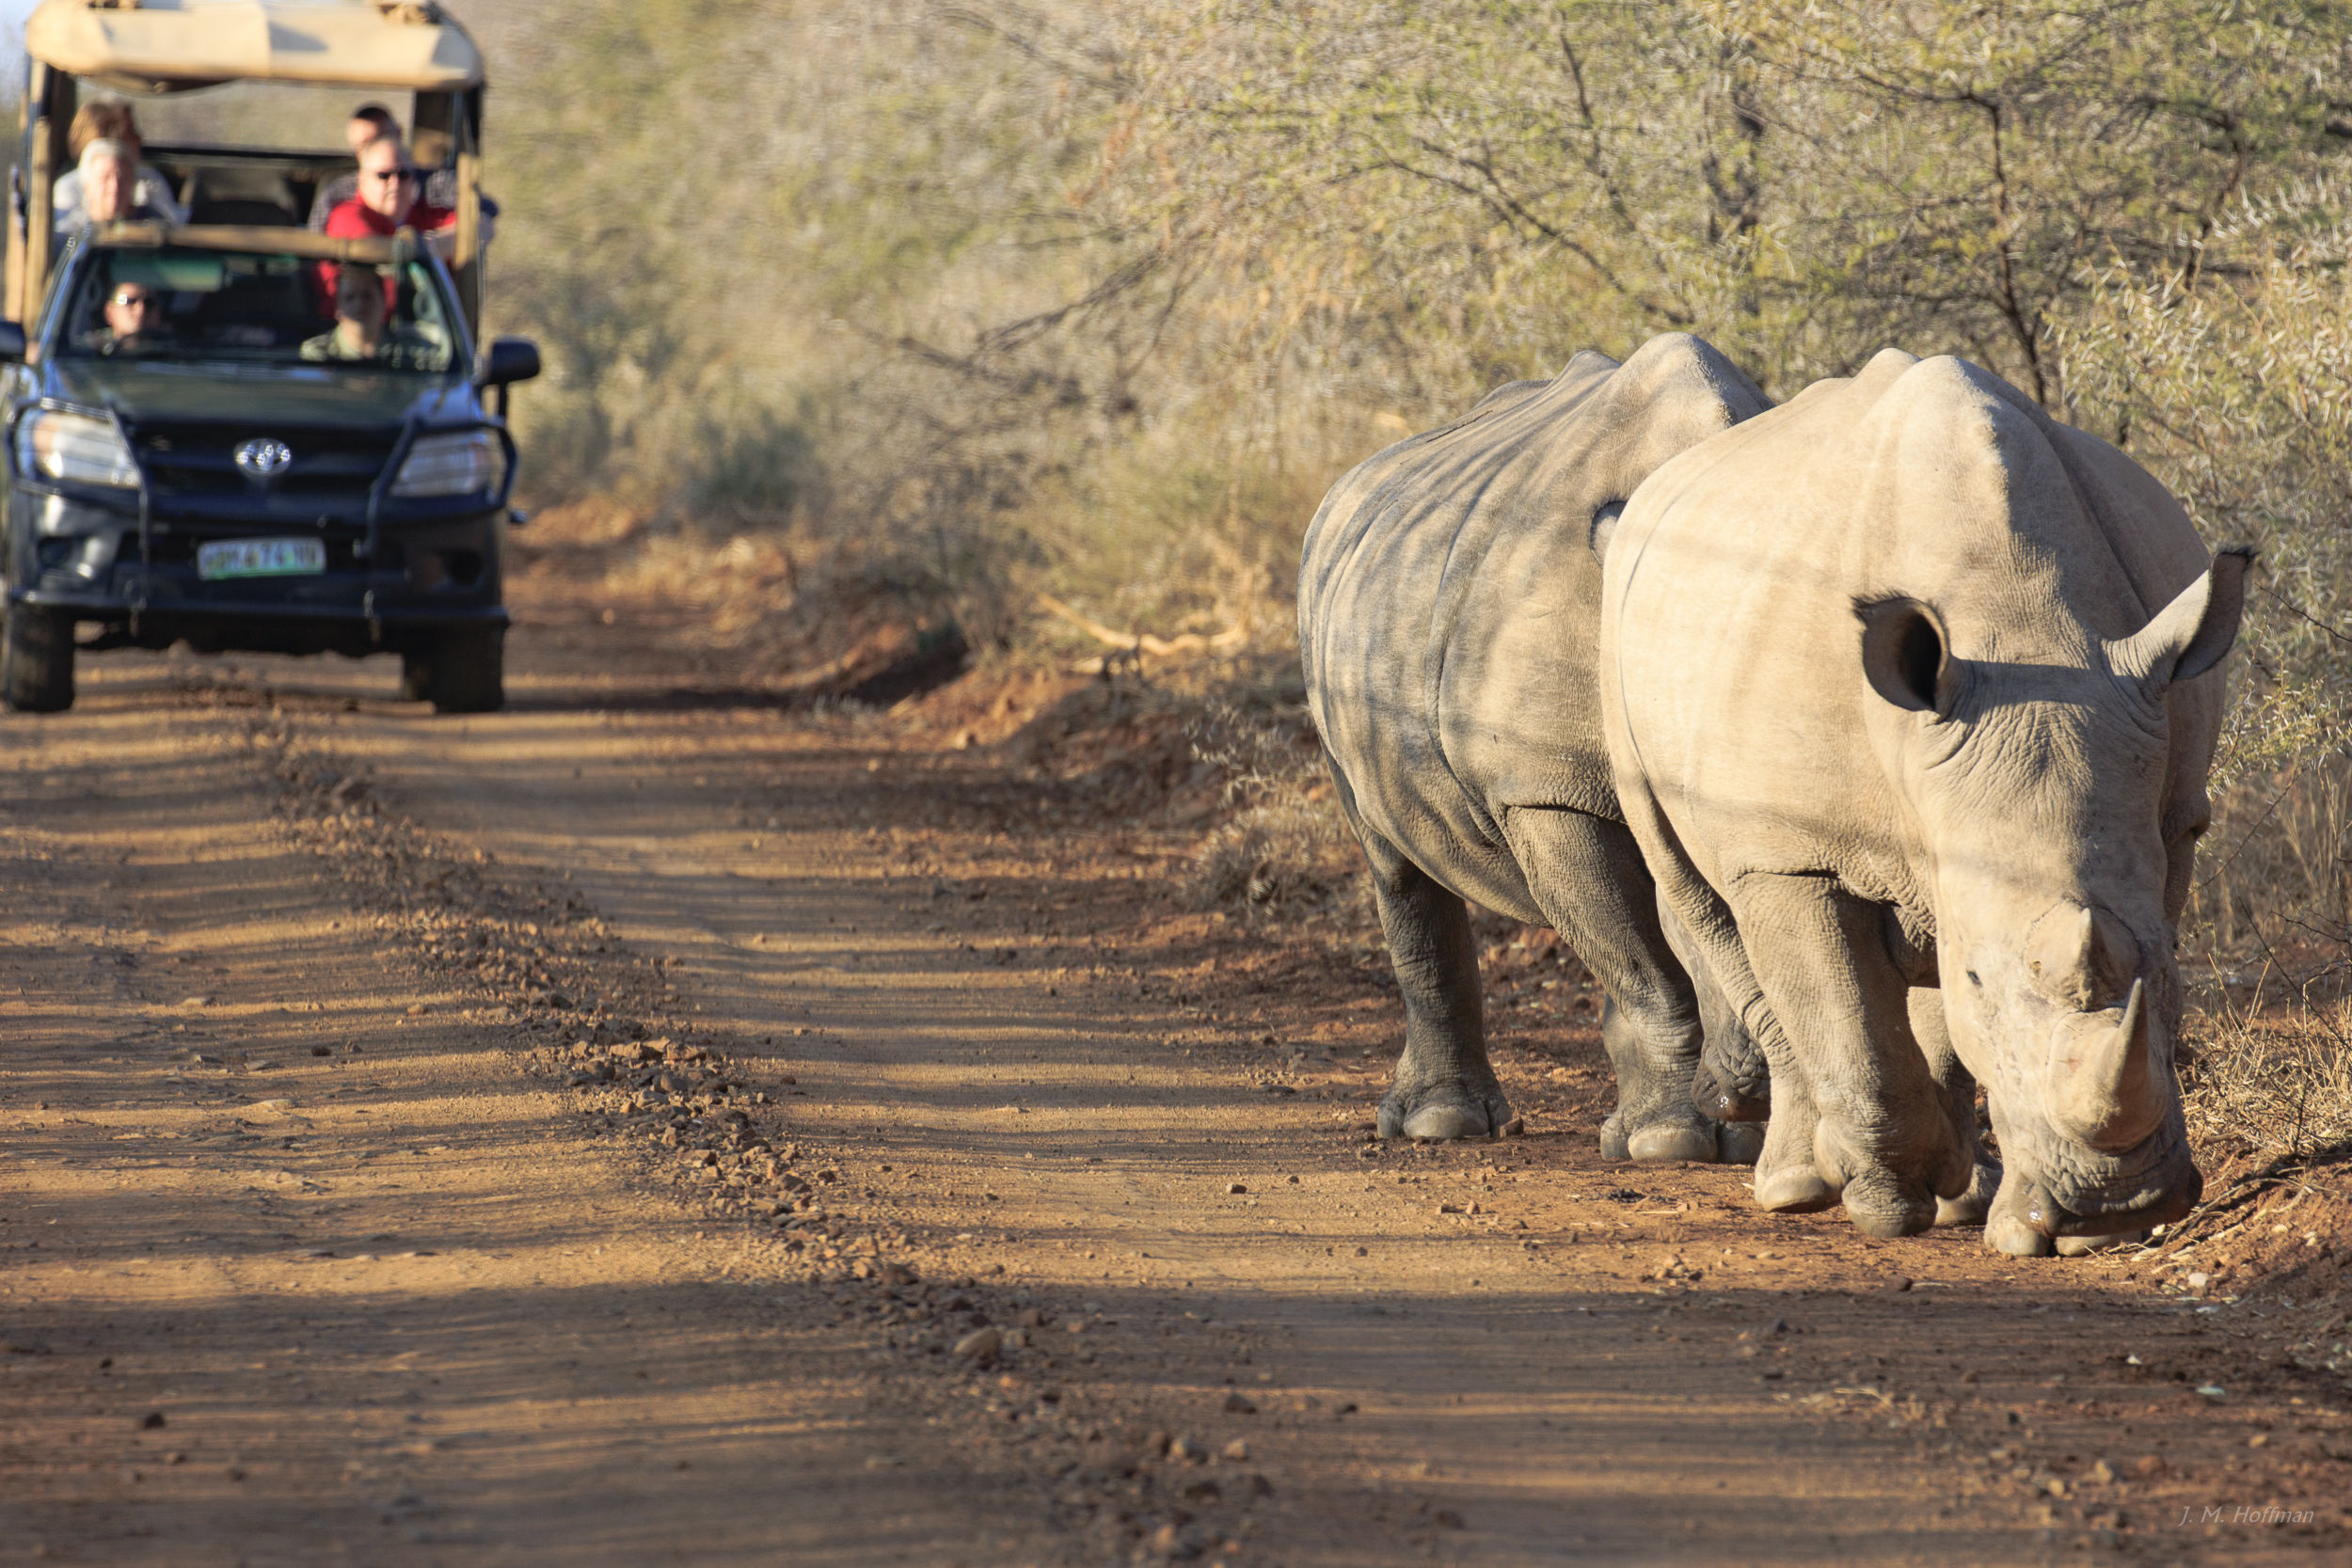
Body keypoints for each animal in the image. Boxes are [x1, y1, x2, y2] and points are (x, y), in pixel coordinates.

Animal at [1299, 333, 1773, 1159]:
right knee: (1392, 855)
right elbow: (1645, 963)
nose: (1751, 1084)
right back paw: (1441, 1125)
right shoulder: (1541, 786)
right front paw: (1669, 1142)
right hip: (1324, 607)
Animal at [1599, 350, 2245, 1248]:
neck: (2021, 631)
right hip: (1623, 652)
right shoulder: (1790, 855)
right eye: (1980, 978)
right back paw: (1799, 1185)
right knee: (1706, 905)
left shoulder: (2171, 816)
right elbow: (1853, 1021)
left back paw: (1958, 1190)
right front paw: (1882, 1200)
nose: (2122, 1205)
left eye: (2174, 964)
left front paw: (1983, 1202)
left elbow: (1956, 1014)